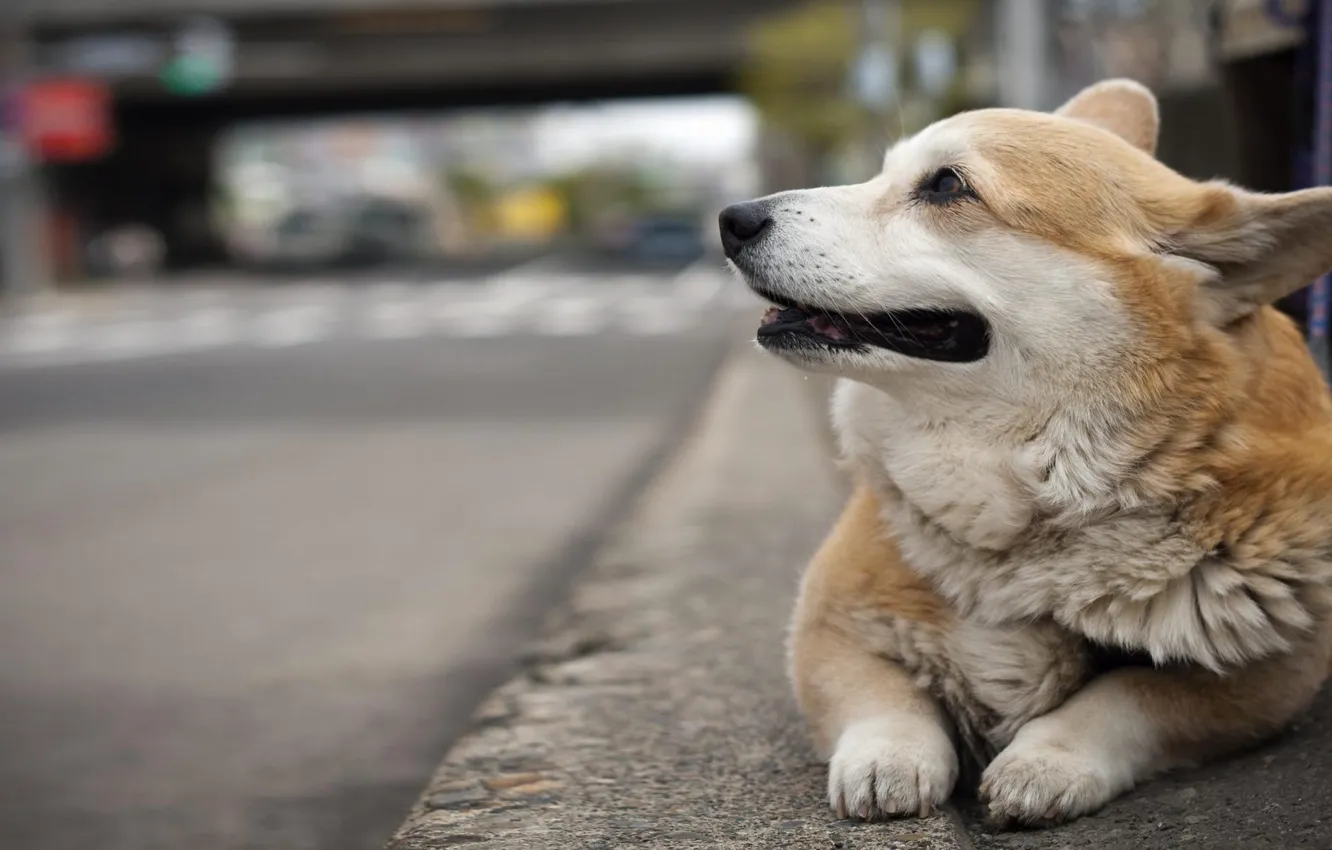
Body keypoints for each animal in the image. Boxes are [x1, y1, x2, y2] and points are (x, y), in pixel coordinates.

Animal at [724, 79, 1332, 826]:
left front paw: (1045, 761)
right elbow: (885, 700)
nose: (732, 219)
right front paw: (888, 760)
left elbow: (1133, 695)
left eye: (947, 185)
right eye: (882, 171)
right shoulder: (826, 628)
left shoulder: (1272, 672)